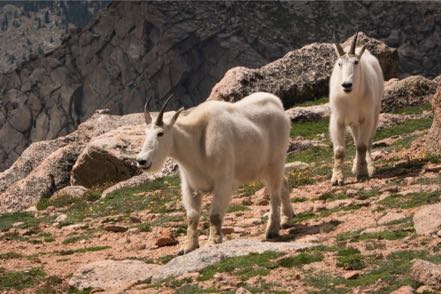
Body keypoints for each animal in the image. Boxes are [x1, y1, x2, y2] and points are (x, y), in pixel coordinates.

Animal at [137, 93, 296, 254]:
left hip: (276, 160)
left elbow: (214, 214)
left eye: (160, 133)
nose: (142, 161)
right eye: (145, 133)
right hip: (262, 167)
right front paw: (188, 246)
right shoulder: (189, 184)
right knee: (283, 184)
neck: (196, 142)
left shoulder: (223, 180)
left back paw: (272, 231)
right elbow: (192, 216)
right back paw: (286, 219)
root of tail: (278, 105)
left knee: (274, 194)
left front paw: (213, 241)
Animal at [328, 31, 384, 185]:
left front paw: (363, 172)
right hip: (353, 122)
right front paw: (337, 179)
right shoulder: (338, 119)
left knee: (367, 142)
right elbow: (339, 150)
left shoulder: (366, 118)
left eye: (356, 62)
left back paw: (368, 166)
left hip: (374, 113)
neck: (351, 98)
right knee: (355, 138)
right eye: (339, 63)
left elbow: (362, 146)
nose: (347, 85)